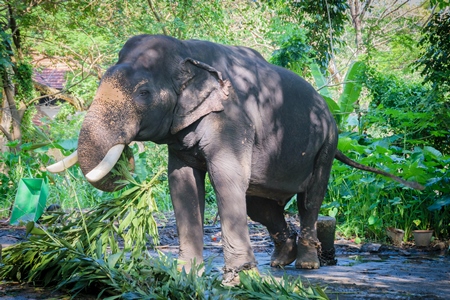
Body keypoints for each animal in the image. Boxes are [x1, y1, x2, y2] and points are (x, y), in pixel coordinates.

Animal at [47, 35, 424, 284]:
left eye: (144, 92)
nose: (126, 156)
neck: (187, 51)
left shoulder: (232, 119)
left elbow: (227, 178)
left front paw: (238, 277)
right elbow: (182, 183)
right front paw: (186, 272)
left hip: (327, 144)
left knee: (311, 199)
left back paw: (306, 265)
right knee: (262, 206)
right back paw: (280, 262)